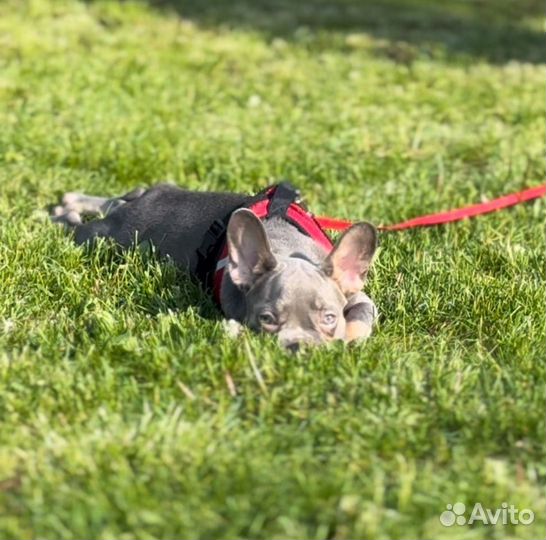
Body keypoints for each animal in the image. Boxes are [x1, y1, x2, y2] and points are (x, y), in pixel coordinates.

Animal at [52, 182, 378, 350]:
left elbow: (360, 319)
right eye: (266, 319)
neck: (285, 247)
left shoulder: (358, 296)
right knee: (83, 228)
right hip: (109, 237)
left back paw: (71, 202)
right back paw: (63, 215)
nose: (300, 346)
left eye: (329, 318)